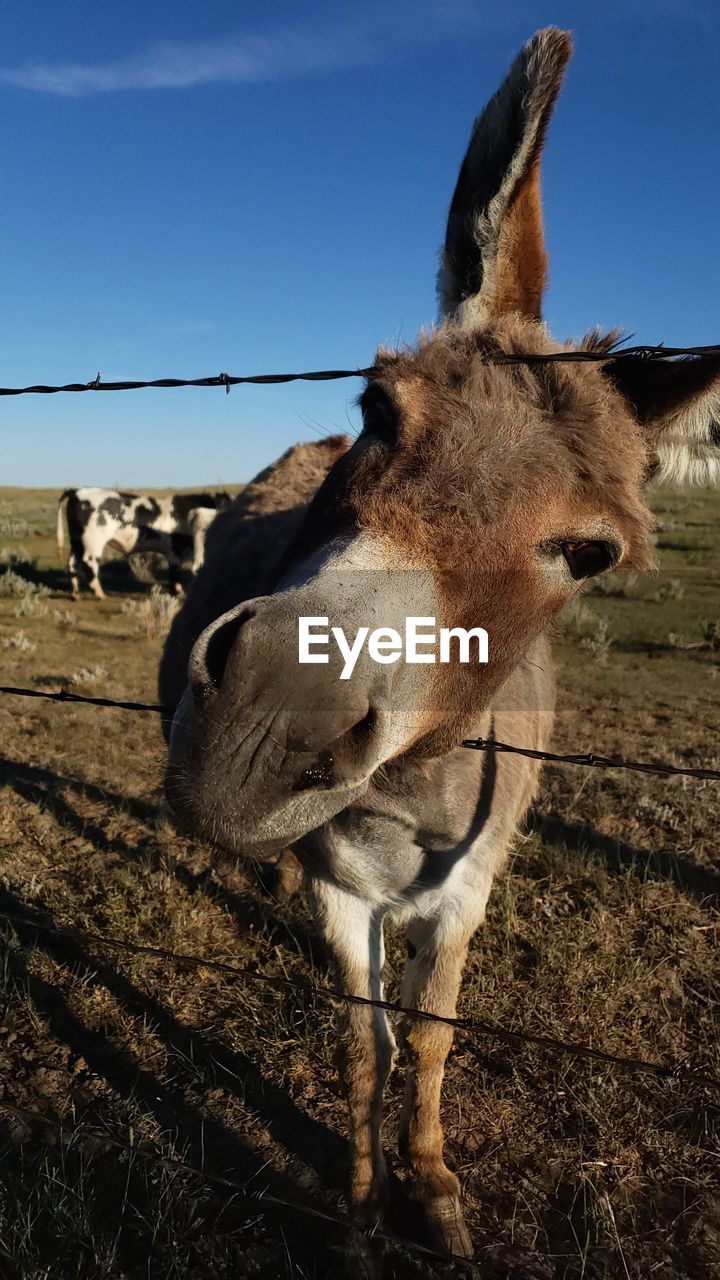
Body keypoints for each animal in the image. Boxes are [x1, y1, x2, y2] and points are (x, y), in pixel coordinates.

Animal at [57, 486, 228, 596]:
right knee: (90, 563)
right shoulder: (175, 552)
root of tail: (78, 491)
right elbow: (174, 575)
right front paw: (178, 593)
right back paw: (99, 593)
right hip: (93, 542)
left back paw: (75, 593)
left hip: (76, 541)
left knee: (72, 563)